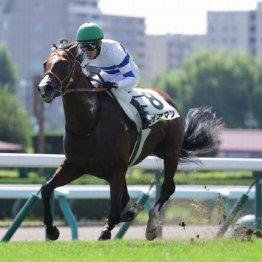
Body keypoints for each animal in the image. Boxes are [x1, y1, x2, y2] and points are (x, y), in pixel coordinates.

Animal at [36, 40, 221, 241]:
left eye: (64, 64)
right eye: (45, 63)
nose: (45, 88)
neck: (89, 122)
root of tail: (168, 98)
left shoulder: (116, 169)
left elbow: (114, 210)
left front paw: (107, 230)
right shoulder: (75, 165)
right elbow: (46, 189)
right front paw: (51, 230)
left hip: (170, 153)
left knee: (168, 187)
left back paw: (151, 225)